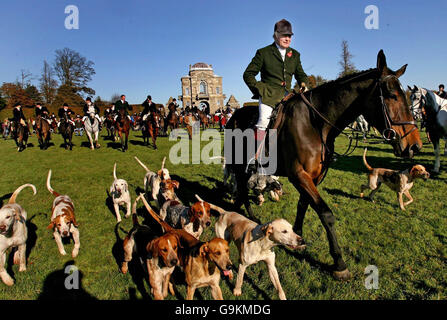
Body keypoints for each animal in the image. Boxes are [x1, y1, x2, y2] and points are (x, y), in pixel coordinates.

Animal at [226, 50, 422, 280]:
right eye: (392, 95)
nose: (414, 145)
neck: (314, 124)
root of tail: (234, 116)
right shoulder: (299, 175)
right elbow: (326, 214)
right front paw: (339, 263)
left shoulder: (314, 177)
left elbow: (303, 205)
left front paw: (297, 237)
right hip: (239, 165)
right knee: (240, 188)